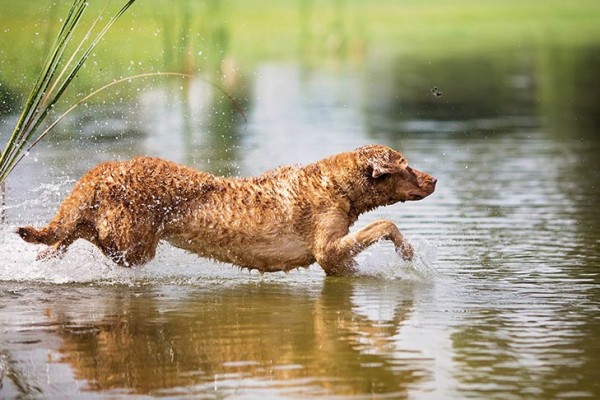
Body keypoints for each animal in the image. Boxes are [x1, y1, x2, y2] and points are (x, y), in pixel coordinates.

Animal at [15, 145, 436, 276]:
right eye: (406, 165)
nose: (434, 179)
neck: (337, 186)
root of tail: (106, 169)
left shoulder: (336, 261)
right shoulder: (327, 250)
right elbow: (385, 222)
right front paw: (406, 250)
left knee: (72, 231)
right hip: (132, 245)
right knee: (84, 232)